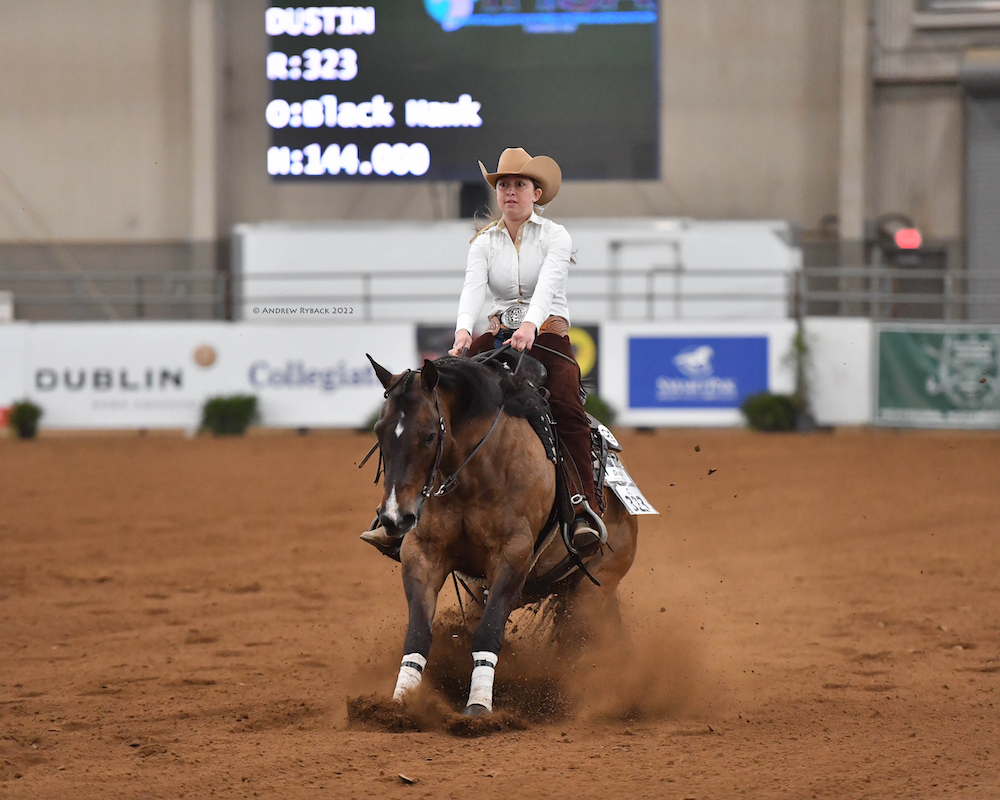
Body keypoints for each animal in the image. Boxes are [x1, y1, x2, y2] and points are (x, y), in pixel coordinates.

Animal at [364, 354, 636, 716]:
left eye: (429, 436)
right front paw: (400, 703)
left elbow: (488, 632)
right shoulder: (422, 553)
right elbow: (419, 633)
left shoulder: (514, 555)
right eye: (379, 432)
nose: (395, 517)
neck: (475, 471)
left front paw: (478, 708)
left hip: (593, 591)